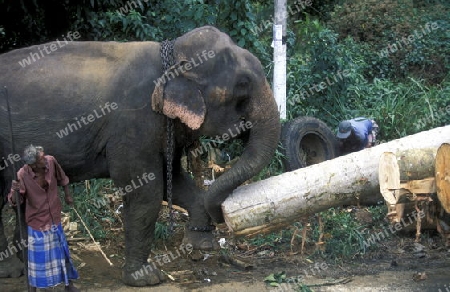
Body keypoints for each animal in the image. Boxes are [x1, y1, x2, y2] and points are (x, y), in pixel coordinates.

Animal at [0, 25, 280, 286]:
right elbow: (145, 190)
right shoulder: (133, 124)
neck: (172, 54)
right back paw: (12, 271)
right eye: (242, 86)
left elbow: (173, 181)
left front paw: (200, 244)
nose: (223, 217)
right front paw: (146, 278)